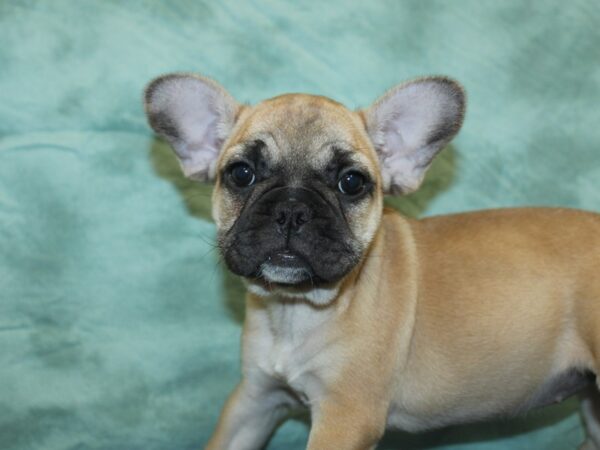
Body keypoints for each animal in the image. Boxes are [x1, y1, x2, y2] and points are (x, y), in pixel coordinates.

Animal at [145, 74, 600, 450]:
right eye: (240, 174)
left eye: (351, 182)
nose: (292, 209)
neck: (297, 308)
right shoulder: (255, 400)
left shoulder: (344, 419)